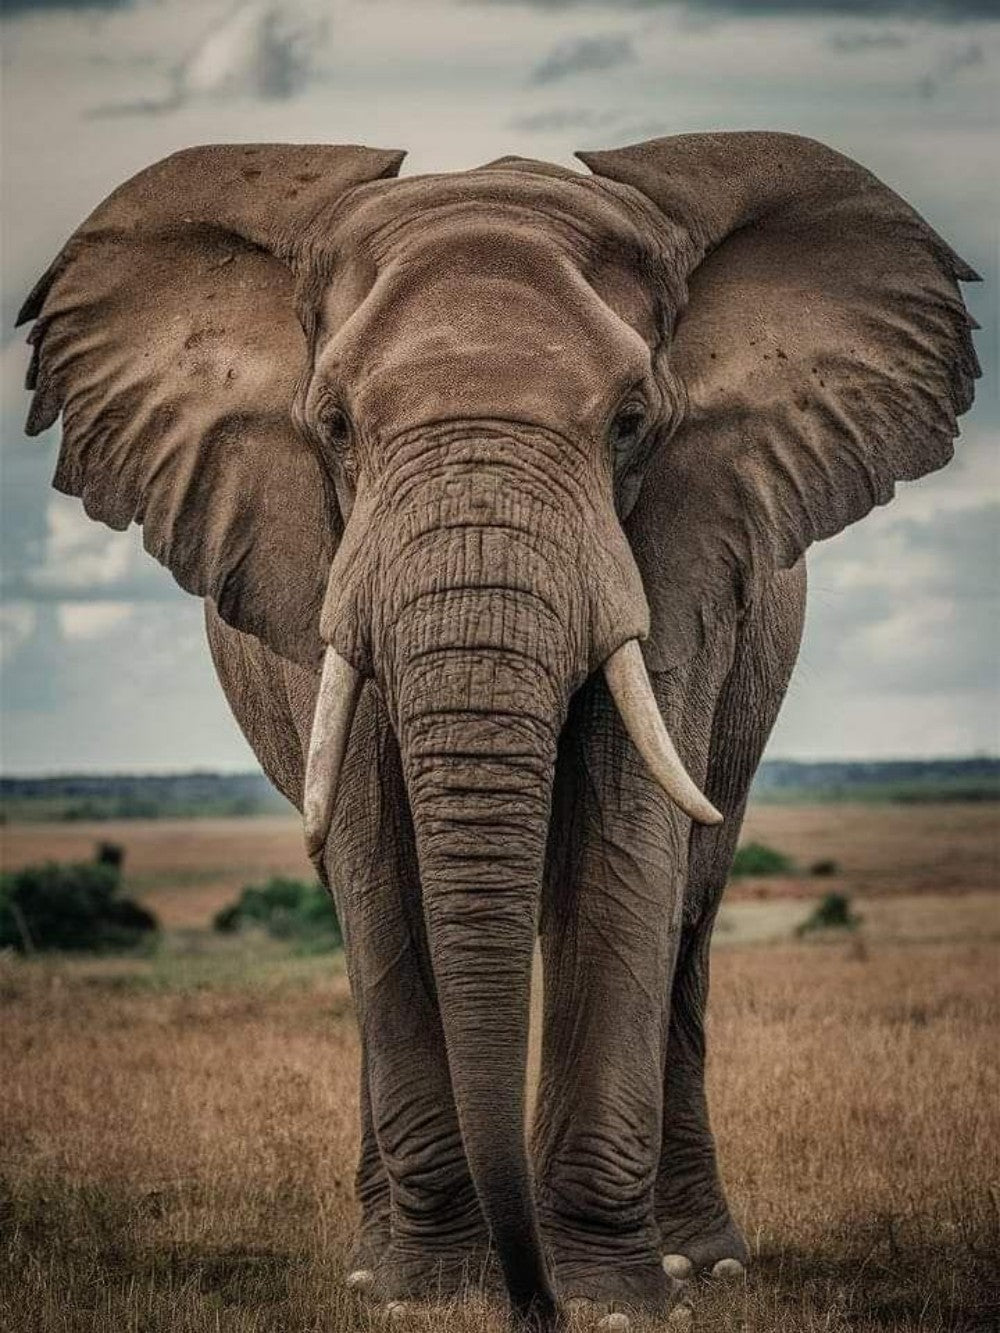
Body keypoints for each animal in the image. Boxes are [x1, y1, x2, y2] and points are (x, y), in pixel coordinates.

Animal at [17, 132, 977, 1329]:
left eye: (630, 423)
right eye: (333, 427)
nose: (534, 1304)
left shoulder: (682, 555)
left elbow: (625, 850)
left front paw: (613, 1299)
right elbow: (379, 869)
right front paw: (424, 1294)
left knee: (690, 915)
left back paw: (701, 1263)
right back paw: (374, 1263)